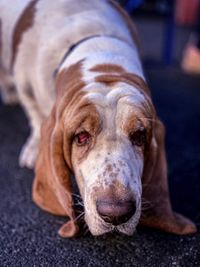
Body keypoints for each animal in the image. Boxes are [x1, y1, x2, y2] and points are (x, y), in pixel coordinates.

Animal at [0, 0, 197, 239]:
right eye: (81, 136)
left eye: (139, 135)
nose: (115, 213)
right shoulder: (26, 87)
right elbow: (36, 118)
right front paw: (33, 148)